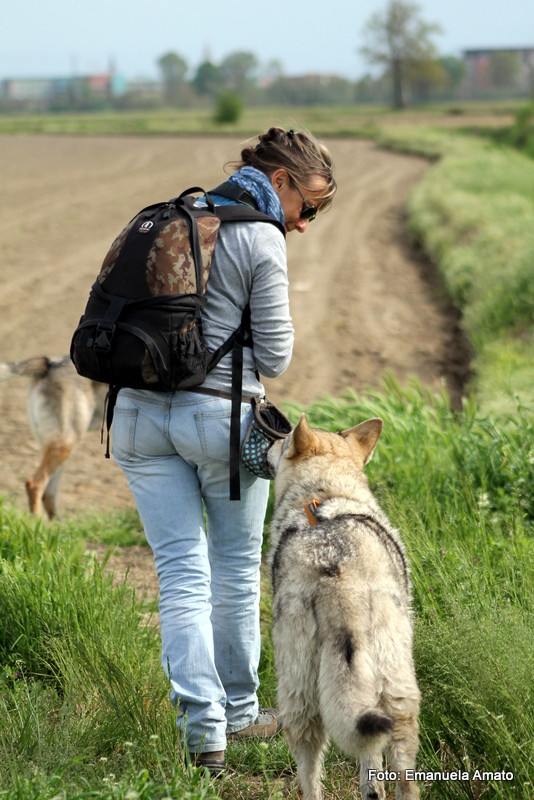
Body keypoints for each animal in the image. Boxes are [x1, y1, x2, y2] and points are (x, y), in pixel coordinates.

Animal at [0, 354, 108, 516]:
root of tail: (50, 364)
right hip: (65, 445)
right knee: (35, 485)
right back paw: (37, 523)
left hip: (60, 448)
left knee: (48, 494)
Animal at [268, 416, 422, 796]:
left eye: (283, 441)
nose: (269, 442)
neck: (324, 496)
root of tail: (338, 578)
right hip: (394, 693)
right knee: (396, 775)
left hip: (300, 697)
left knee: (313, 777)